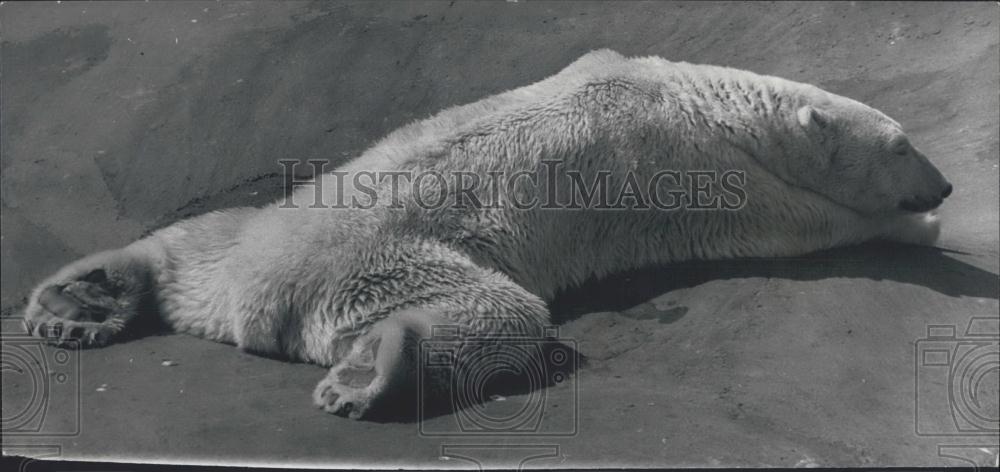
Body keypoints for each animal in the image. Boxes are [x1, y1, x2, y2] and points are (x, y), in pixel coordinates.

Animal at [19, 49, 948, 418]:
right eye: (905, 145)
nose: (942, 181)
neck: (690, 94)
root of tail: (257, 301)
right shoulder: (698, 171)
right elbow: (798, 224)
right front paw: (920, 225)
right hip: (390, 259)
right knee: (497, 312)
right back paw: (379, 375)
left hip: (255, 234)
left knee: (190, 242)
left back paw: (78, 300)